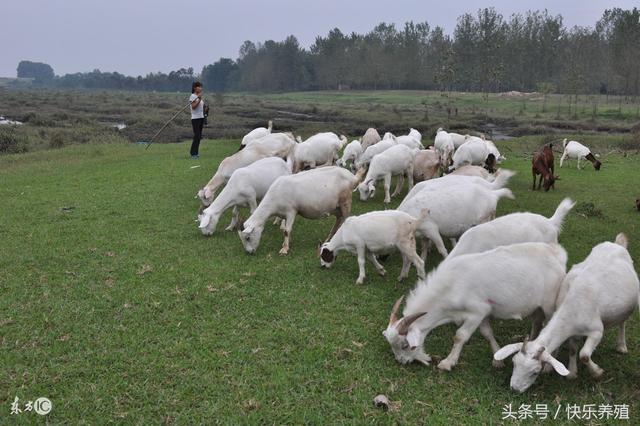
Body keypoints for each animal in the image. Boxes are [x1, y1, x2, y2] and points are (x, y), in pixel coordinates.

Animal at [382, 243, 568, 370]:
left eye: (405, 345)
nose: (402, 361)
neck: (452, 286)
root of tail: (556, 253)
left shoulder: (477, 312)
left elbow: (460, 336)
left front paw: (447, 363)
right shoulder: (484, 313)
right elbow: (487, 333)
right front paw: (497, 360)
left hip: (549, 304)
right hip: (537, 306)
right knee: (537, 321)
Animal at [496, 233, 640, 392]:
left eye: (535, 372)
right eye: (514, 362)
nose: (515, 388)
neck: (572, 308)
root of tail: (617, 244)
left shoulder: (596, 330)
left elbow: (584, 355)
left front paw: (597, 372)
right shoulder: (572, 331)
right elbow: (572, 349)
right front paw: (572, 373)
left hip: (629, 305)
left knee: (623, 322)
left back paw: (621, 346)